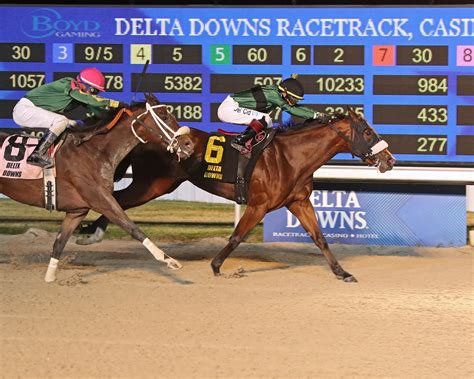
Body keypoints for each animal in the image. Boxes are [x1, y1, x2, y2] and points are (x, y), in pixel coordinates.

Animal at [0, 94, 193, 282]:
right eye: (164, 116)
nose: (189, 144)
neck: (94, 152)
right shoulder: (100, 199)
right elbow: (132, 227)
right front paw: (168, 260)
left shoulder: (77, 211)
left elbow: (59, 242)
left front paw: (50, 277)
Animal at [79, 108, 394, 284]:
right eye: (367, 132)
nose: (389, 160)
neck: (290, 157)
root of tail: (146, 136)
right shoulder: (259, 204)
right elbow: (237, 236)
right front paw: (216, 266)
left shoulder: (299, 202)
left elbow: (320, 238)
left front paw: (342, 273)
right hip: (153, 184)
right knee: (117, 202)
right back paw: (89, 233)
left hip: (159, 185)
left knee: (118, 202)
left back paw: (89, 232)